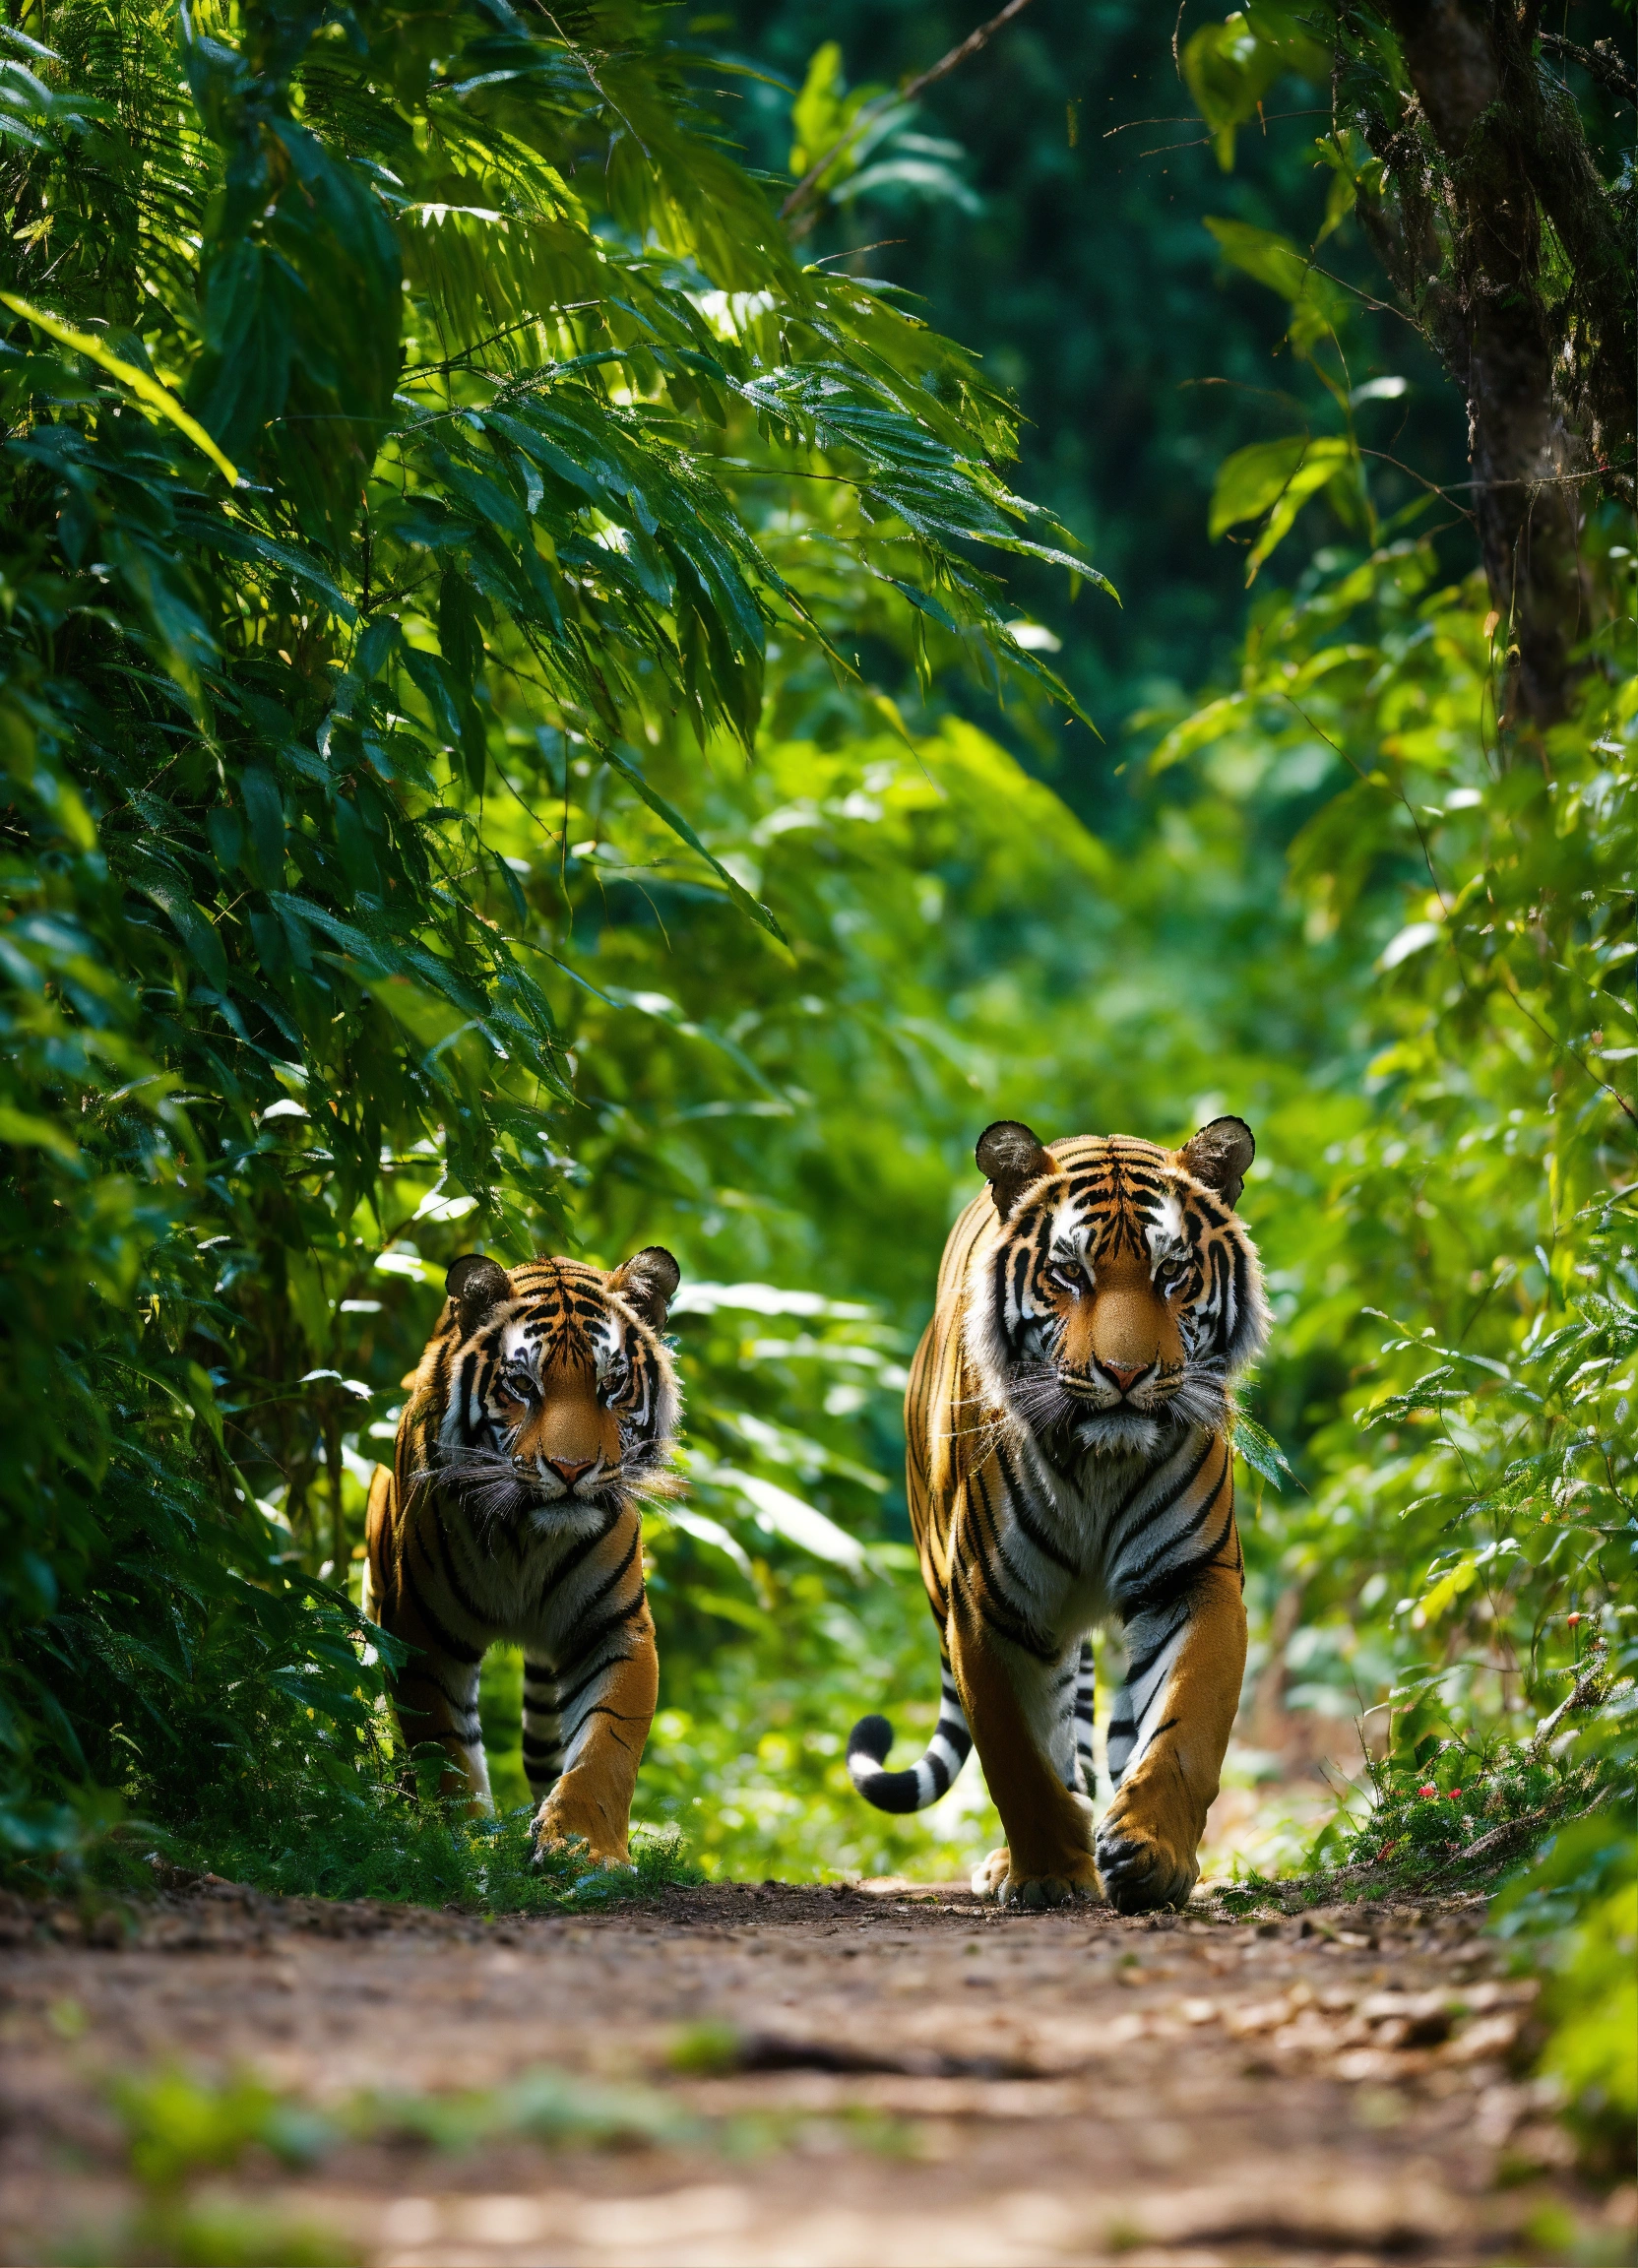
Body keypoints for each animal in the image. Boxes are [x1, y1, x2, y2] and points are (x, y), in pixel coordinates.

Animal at [362, 1251, 675, 1868]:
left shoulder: (612, 1626)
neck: (530, 1540)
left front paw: (585, 1846)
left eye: (612, 1384)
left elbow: (606, 1745)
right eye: (523, 1384)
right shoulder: (419, 1632)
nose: (571, 1469)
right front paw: (467, 1842)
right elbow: (445, 1749)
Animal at [848, 1115, 1270, 1914]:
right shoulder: (990, 1607)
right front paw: (1046, 1872)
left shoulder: (1193, 1579)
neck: (1102, 1464)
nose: (1126, 1374)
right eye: (1069, 1274)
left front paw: (1152, 1857)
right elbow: (1017, 1756)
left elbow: (1182, 1730)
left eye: (1172, 1273)